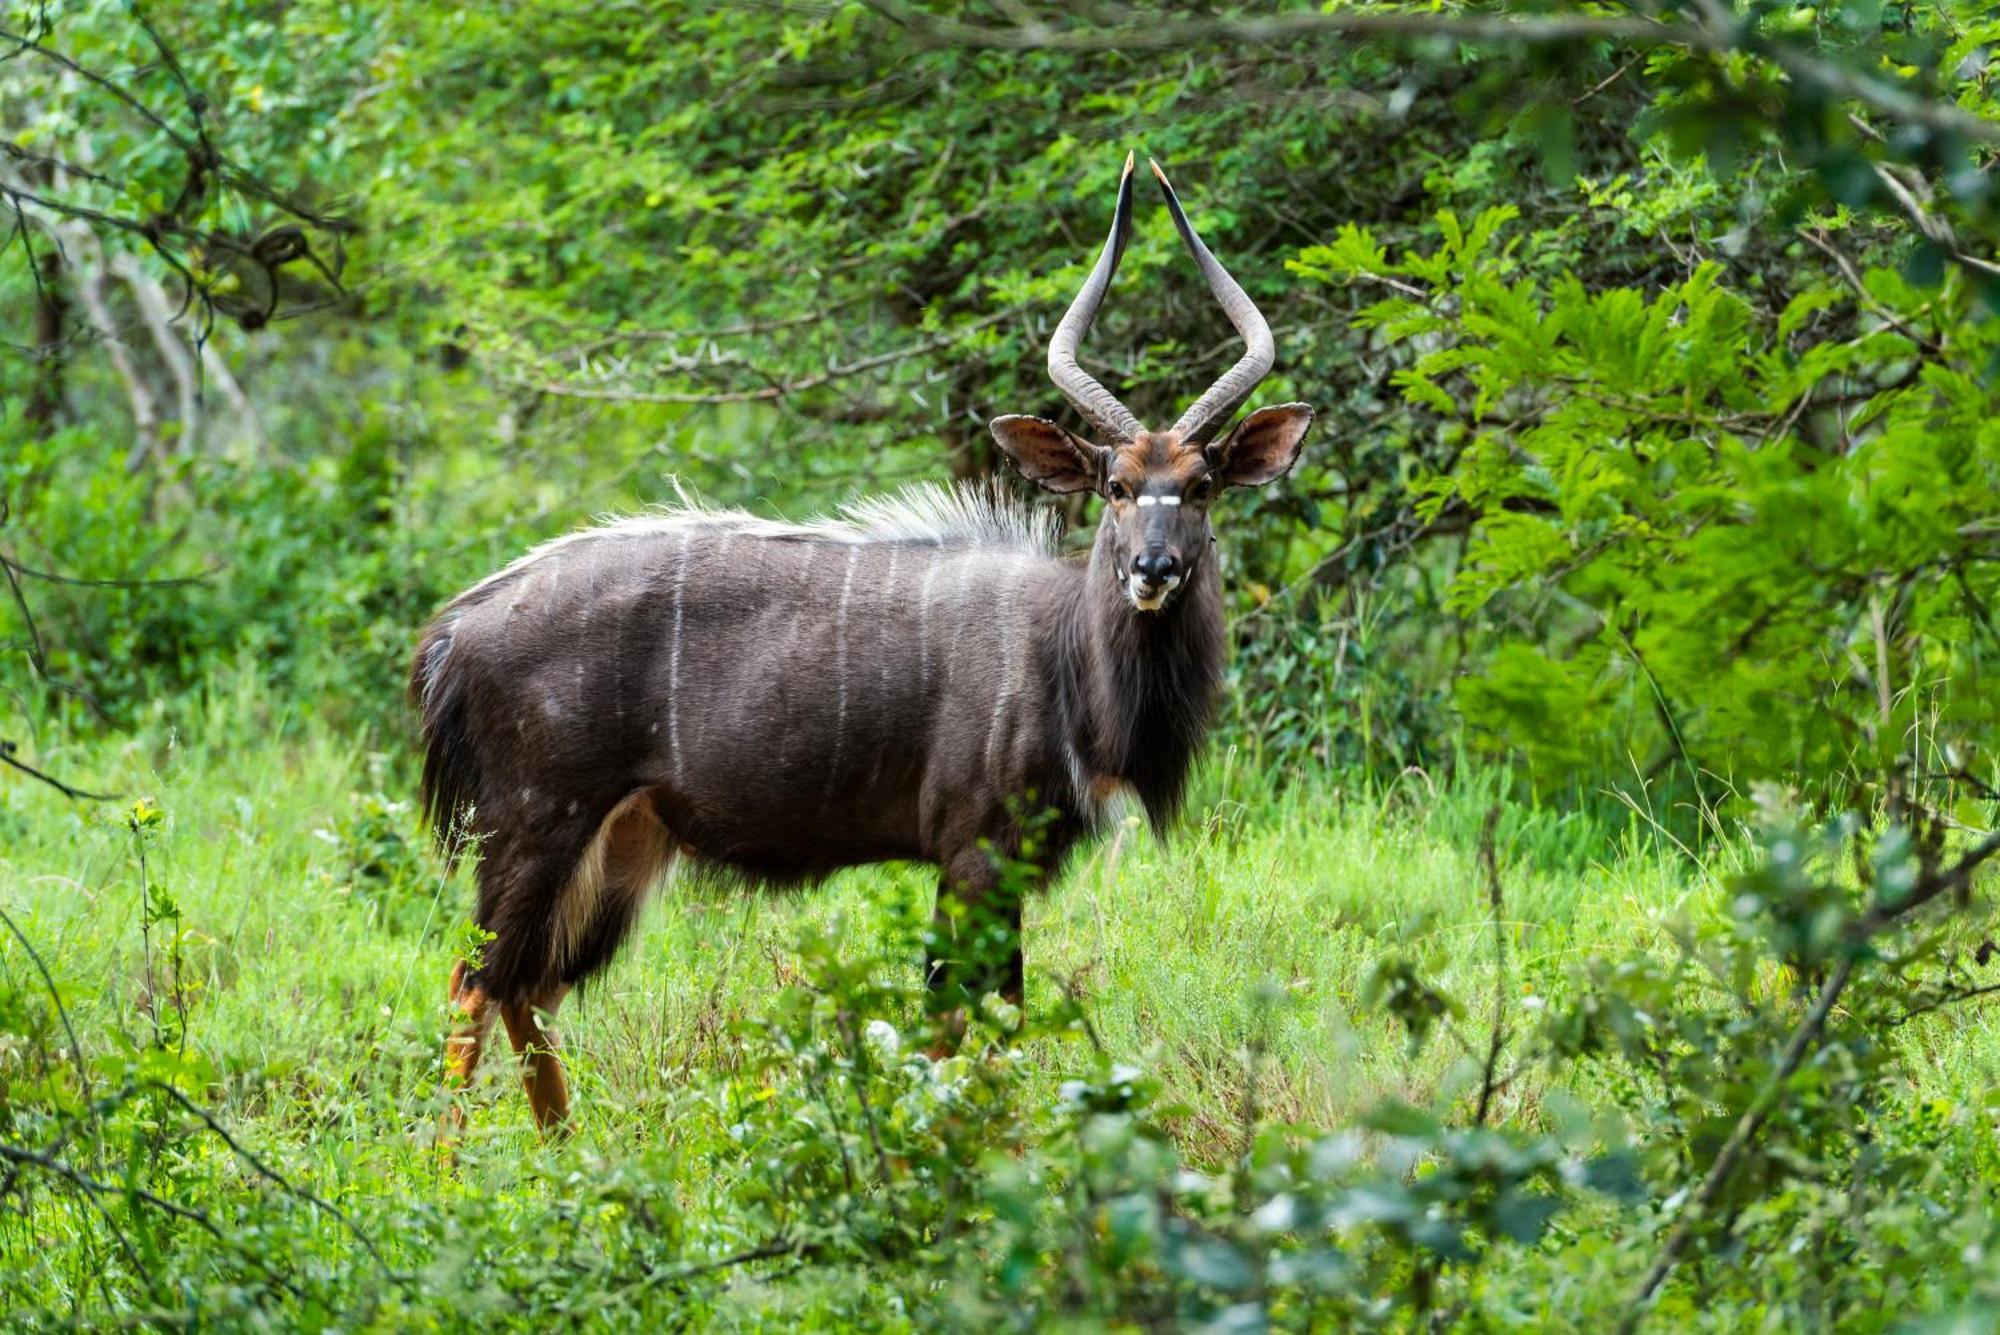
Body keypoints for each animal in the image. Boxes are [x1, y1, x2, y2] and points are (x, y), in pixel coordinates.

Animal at [414, 150, 1312, 1135]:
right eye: (1115, 485)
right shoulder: (975, 852)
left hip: (621, 844)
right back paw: (455, 1166)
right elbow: (963, 1017)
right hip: (536, 822)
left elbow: (983, 1018)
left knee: (528, 988)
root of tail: (457, 630)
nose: (1152, 568)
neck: (1061, 656)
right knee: (474, 980)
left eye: (1201, 486)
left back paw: (566, 1156)